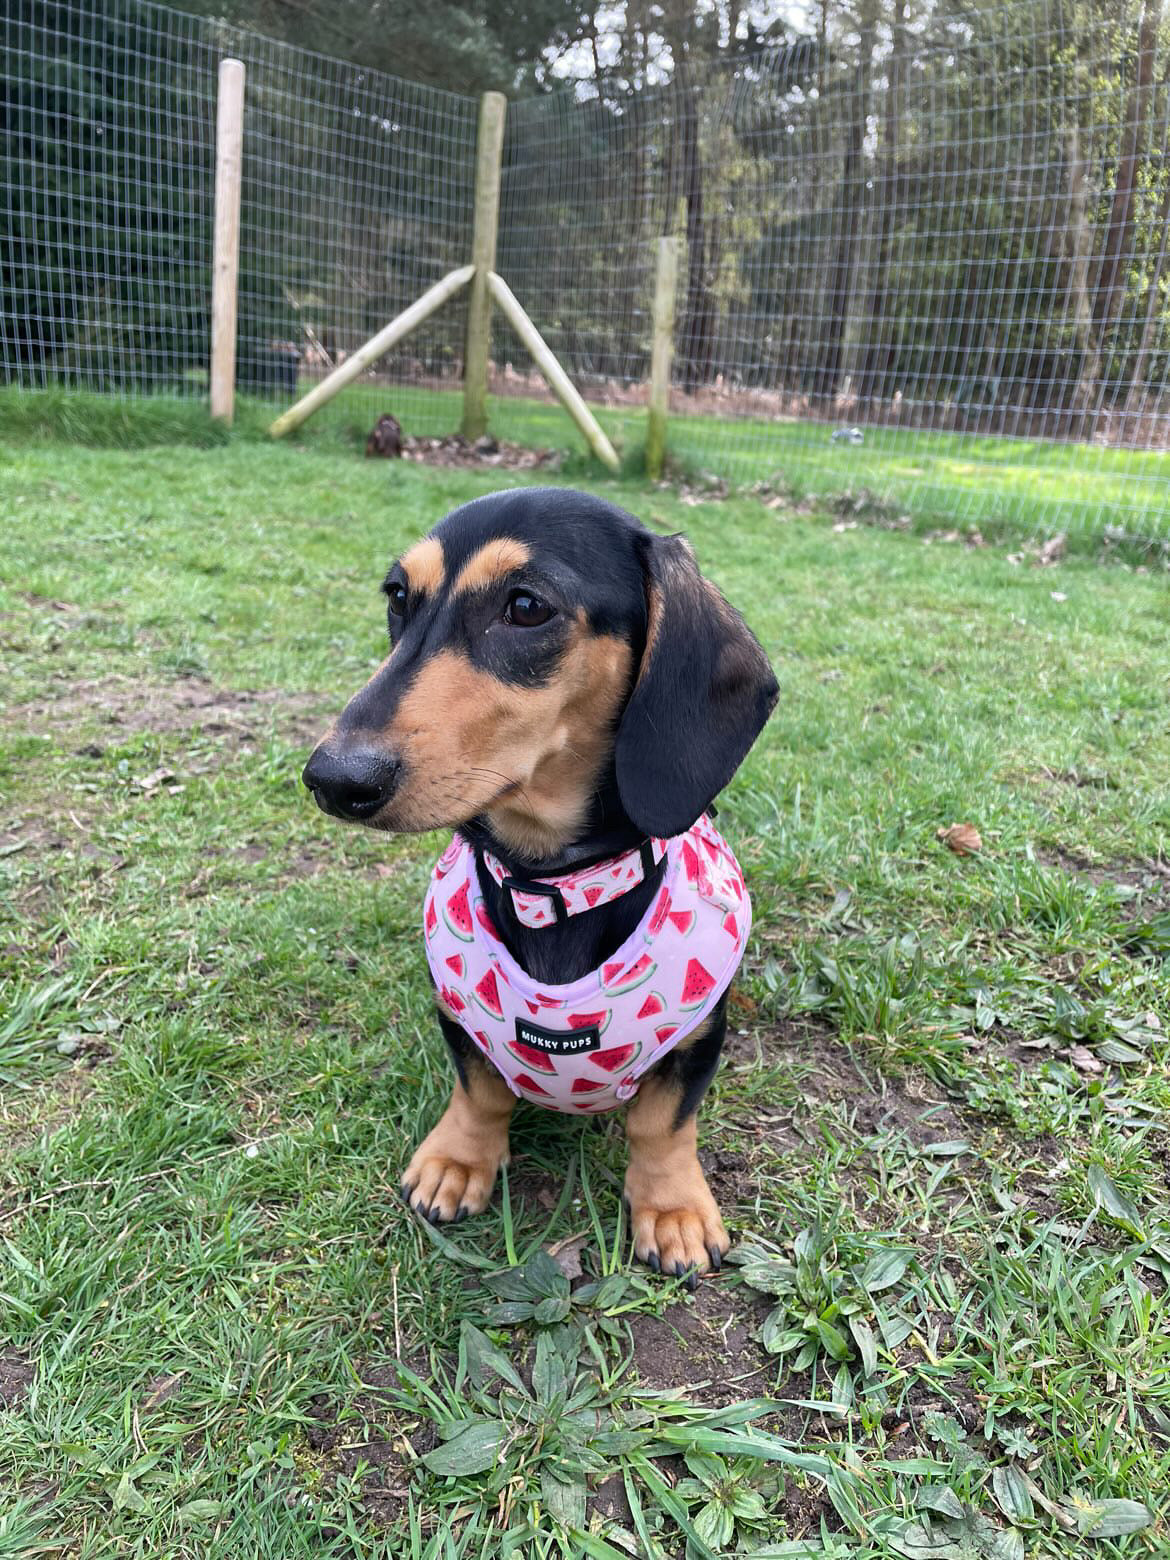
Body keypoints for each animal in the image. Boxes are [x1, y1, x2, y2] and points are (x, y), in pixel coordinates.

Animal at [302, 486, 780, 1279]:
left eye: (526, 607)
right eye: (398, 596)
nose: (334, 779)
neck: (554, 886)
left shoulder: (695, 1040)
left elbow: (662, 1123)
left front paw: (672, 1207)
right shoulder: (460, 1019)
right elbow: (480, 1092)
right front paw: (459, 1161)